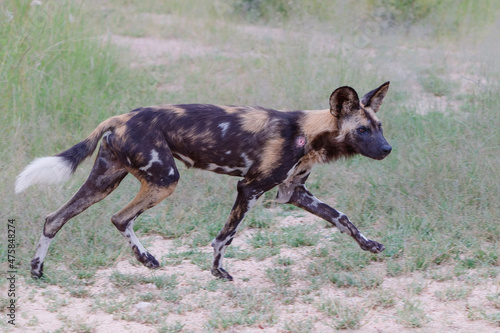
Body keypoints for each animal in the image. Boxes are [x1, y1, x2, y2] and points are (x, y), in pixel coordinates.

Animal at [14, 81, 390, 278]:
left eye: (380, 126)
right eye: (362, 130)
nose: (388, 149)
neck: (307, 134)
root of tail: (119, 117)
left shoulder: (294, 193)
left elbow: (342, 219)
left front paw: (369, 245)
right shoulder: (250, 188)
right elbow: (226, 237)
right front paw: (217, 271)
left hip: (106, 180)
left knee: (58, 218)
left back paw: (39, 269)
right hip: (166, 180)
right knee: (119, 217)